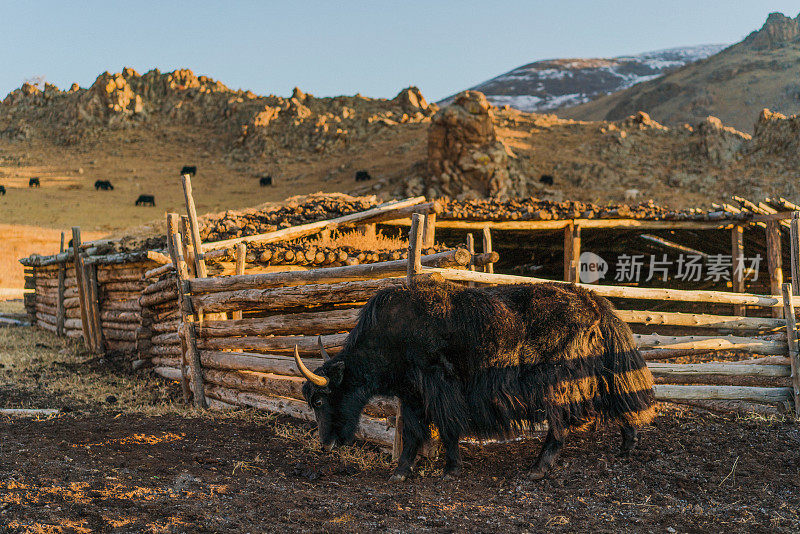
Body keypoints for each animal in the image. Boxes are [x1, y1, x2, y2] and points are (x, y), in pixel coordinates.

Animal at [296, 282, 656, 484]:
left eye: (320, 400)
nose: (326, 445)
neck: (388, 339)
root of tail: (595, 302)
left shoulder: (437, 384)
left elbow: (445, 427)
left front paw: (448, 469)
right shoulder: (412, 394)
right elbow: (413, 430)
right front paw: (401, 471)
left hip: (556, 381)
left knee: (561, 423)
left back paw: (537, 469)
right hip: (597, 372)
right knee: (619, 397)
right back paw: (627, 446)